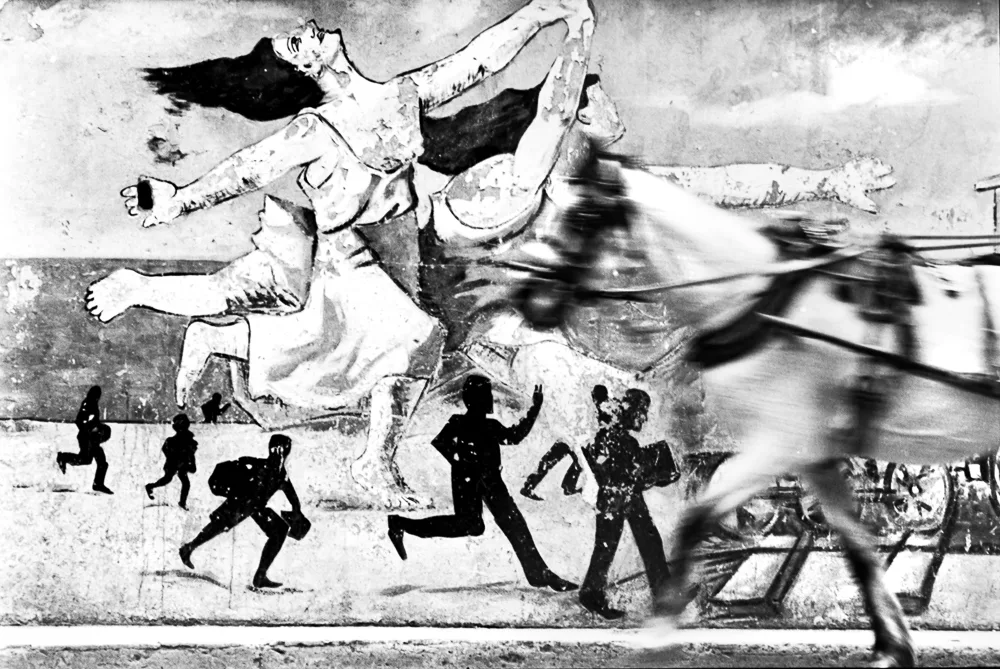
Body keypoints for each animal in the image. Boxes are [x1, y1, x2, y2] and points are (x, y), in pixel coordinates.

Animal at [505, 147, 1000, 667]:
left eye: (583, 216)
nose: (525, 294)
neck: (758, 300)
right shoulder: (815, 456)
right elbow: (859, 550)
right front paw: (893, 646)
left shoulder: (777, 445)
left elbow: (697, 521)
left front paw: (658, 635)